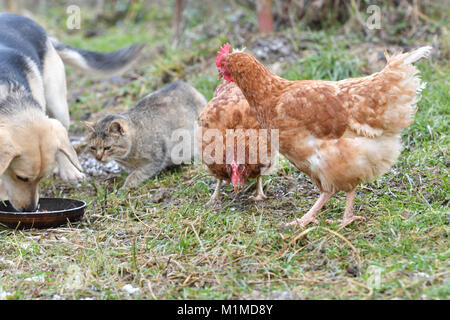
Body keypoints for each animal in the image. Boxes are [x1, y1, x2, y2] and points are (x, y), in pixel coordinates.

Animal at [0, 13, 144, 211]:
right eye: (21, 177)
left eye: (41, 178)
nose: (31, 210)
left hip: (57, 107)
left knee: (63, 142)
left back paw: (69, 170)